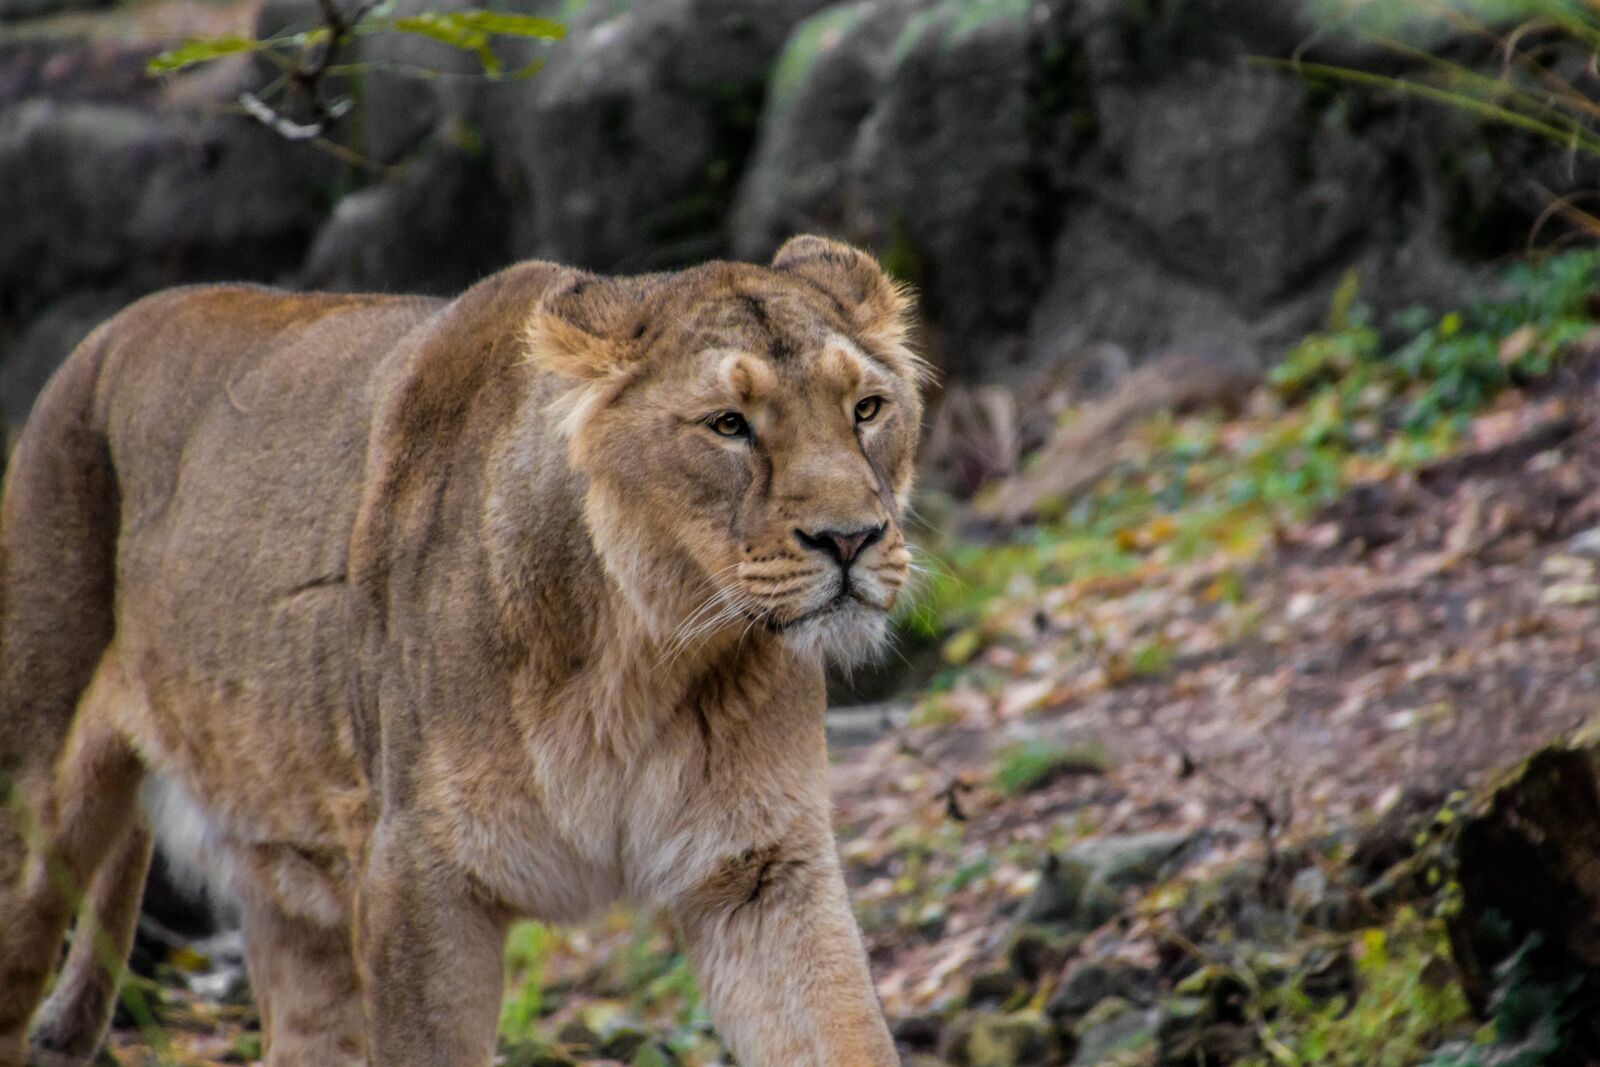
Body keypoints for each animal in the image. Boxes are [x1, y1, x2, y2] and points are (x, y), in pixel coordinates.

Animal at [0, 236, 927, 1067]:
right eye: (729, 425)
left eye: (867, 409)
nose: (852, 538)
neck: (647, 655)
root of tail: (100, 339)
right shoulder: (415, 875)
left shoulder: (762, 873)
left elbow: (845, 1033)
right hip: (34, 817)